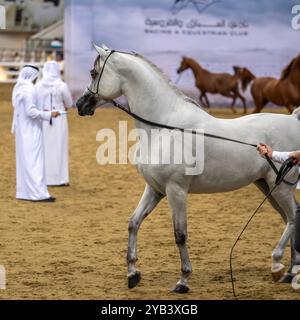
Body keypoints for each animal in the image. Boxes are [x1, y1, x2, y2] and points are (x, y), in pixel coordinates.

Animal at [75, 44, 300, 292]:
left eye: (93, 73)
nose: (80, 105)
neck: (164, 126)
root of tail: (294, 119)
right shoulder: (155, 189)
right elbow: (133, 223)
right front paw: (133, 274)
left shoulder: (176, 190)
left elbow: (180, 234)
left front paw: (182, 280)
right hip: (268, 186)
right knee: (290, 218)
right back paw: (290, 271)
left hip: (281, 187)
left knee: (292, 217)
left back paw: (277, 265)